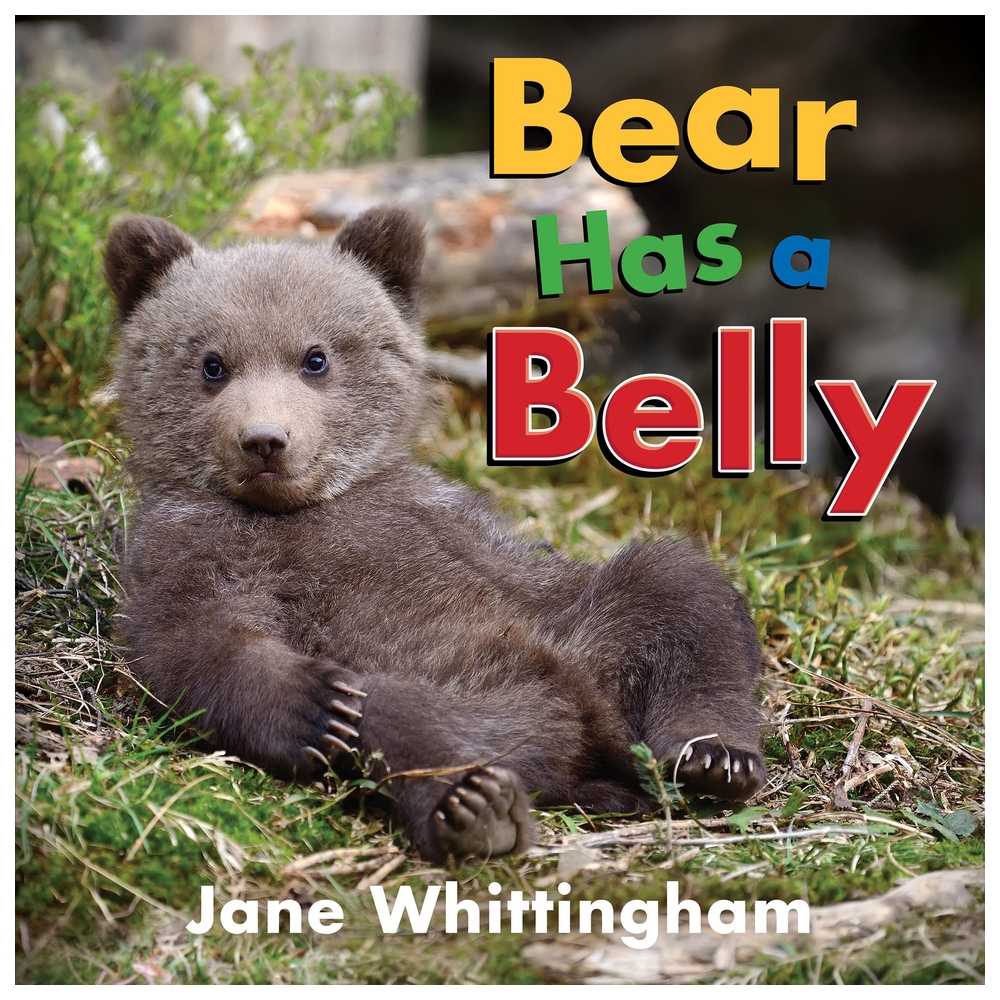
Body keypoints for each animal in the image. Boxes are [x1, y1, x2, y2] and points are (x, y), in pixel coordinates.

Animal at [104, 207, 766, 863]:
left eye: (315, 357)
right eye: (212, 364)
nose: (265, 440)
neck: (294, 510)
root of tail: (593, 736)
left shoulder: (442, 518)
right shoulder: (192, 547)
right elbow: (194, 643)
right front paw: (312, 706)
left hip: (588, 637)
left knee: (677, 592)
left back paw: (715, 756)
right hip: (457, 693)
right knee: (398, 713)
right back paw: (475, 806)